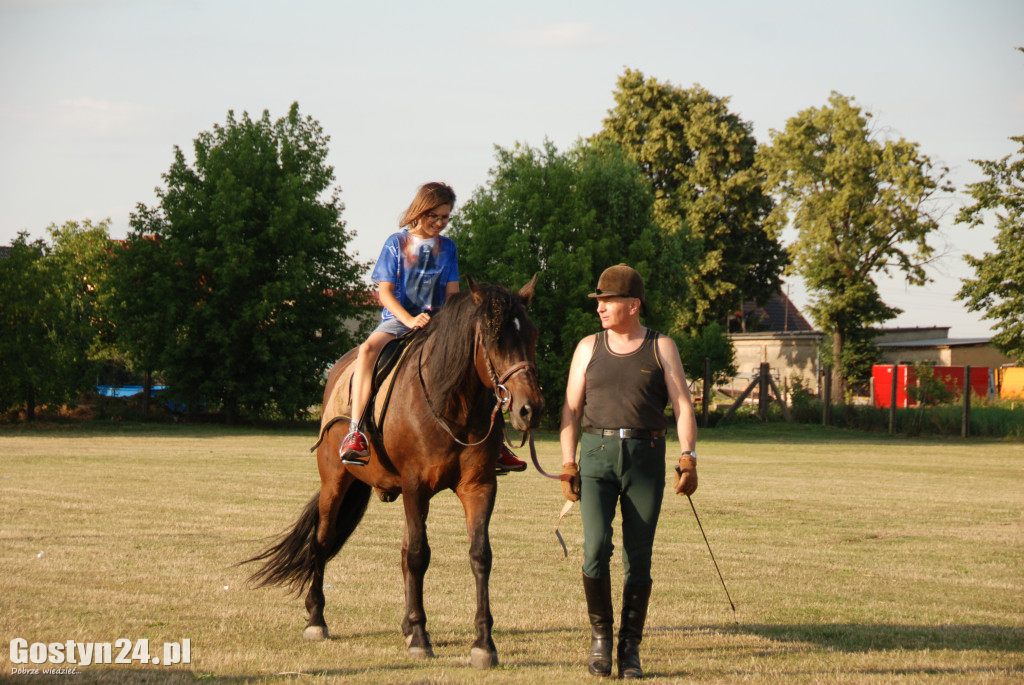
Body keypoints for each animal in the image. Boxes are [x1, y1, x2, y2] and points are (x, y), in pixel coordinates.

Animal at [239, 274, 544, 667]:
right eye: (494, 339)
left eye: (532, 335)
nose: (529, 409)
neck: (451, 404)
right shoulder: (416, 486)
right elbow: (418, 556)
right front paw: (420, 638)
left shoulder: (479, 487)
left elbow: (479, 556)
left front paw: (482, 643)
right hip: (334, 482)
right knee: (322, 540)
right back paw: (317, 619)